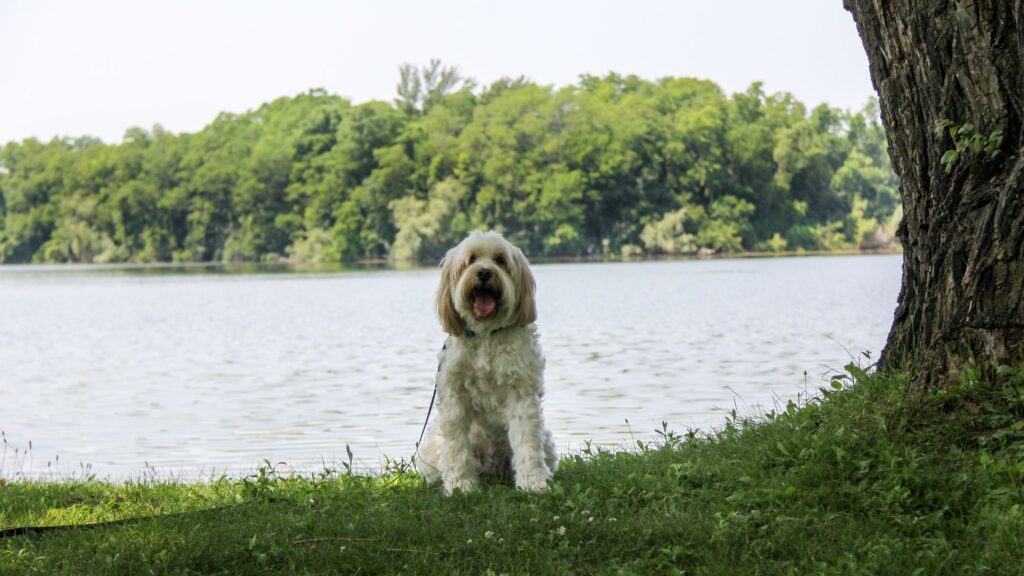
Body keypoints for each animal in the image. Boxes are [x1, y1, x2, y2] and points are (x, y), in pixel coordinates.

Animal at [415, 230, 561, 491]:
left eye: (500, 260)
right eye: (470, 260)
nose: (484, 272)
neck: (485, 333)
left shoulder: (521, 393)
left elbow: (527, 442)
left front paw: (532, 483)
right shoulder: (454, 395)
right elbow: (457, 446)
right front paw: (461, 485)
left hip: (547, 440)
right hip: (431, 446)